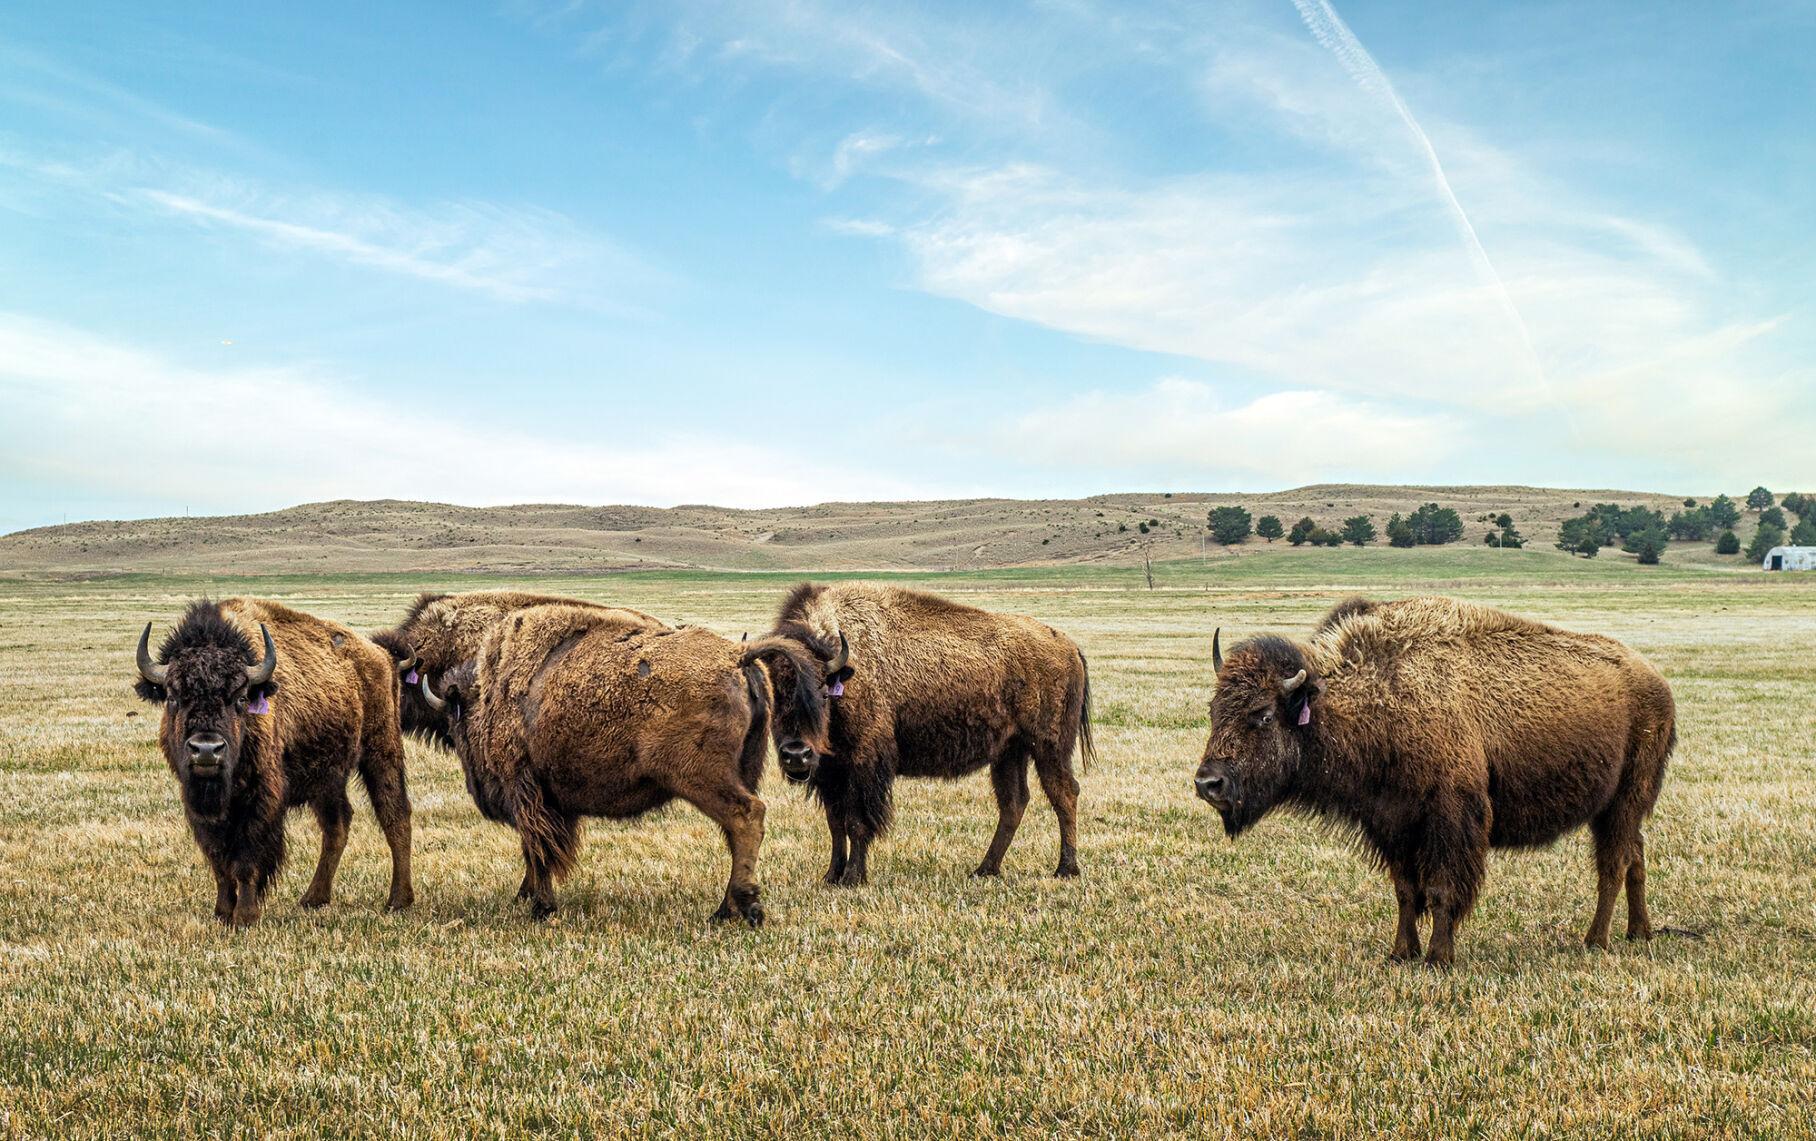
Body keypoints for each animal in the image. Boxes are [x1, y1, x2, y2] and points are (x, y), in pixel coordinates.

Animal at [134, 599, 414, 926]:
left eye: (240, 698)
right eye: (174, 697)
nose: (206, 750)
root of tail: (383, 657)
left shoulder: (261, 798)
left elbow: (246, 858)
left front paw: (245, 915)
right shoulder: (200, 806)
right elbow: (218, 859)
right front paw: (222, 911)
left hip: (382, 751)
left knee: (395, 815)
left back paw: (398, 900)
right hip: (327, 780)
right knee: (337, 825)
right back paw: (313, 898)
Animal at [420, 603, 837, 925]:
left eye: (456, 719)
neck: (492, 694)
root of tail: (738, 656)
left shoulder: (526, 792)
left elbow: (538, 848)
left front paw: (541, 907)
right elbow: (538, 849)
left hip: (703, 778)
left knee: (746, 816)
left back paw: (743, 908)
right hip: (742, 772)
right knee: (737, 833)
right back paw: (725, 909)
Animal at [764, 583, 1094, 885]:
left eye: (822, 692)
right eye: (772, 695)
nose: (796, 755)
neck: (845, 673)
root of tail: (1070, 647)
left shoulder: (863, 765)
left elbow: (856, 822)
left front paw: (852, 878)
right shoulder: (830, 774)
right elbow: (836, 825)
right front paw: (831, 876)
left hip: (1050, 747)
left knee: (1064, 793)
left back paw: (1065, 869)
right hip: (1010, 751)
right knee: (1014, 802)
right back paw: (985, 869)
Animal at [1193, 596, 1676, 967]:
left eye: (1262, 715)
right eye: (1214, 710)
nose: (1207, 783)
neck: (1378, 693)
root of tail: (1658, 683)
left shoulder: (1450, 821)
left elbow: (1443, 889)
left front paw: (1439, 958)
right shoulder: (1393, 823)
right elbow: (1407, 891)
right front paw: (1401, 953)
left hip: (1623, 801)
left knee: (1613, 864)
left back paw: (1595, 941)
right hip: (1616, 808)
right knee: (1635, 856)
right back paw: (1639, 932)